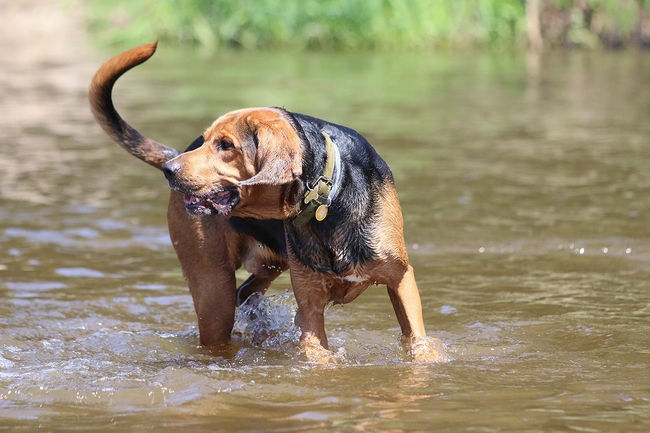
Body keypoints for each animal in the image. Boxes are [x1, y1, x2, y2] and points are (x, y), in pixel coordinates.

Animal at [88, 43, 442, 362]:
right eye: (207, 141)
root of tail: (177, 152)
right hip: (213, 291)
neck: (329, 200)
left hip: (266, 268)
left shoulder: (401, 278)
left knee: (247, 295)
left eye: (225, 145)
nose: (168, 171)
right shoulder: (309, 302)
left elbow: (417, 342)